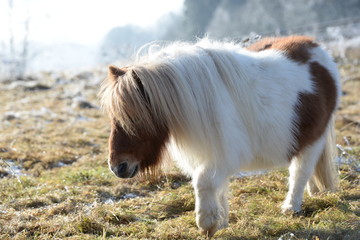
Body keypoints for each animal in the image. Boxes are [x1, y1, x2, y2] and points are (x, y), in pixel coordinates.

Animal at [99, 35, 340, 236]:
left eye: (136, 119)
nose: (117, 167)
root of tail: (315, 48)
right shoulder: (212, 153)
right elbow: (217, 187)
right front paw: (220, 220)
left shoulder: (224, 155)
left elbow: (203, 182)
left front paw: (207, 224)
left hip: (313, 140)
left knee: (300, 171)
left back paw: (291, 207)